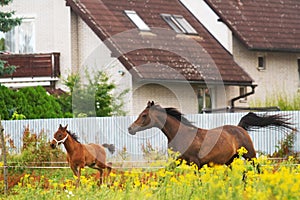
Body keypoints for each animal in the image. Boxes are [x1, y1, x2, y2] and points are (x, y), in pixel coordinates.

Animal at [127, 101, 296, 169]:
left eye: (143, 115)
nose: (130, 129)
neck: (182, 135)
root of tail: (239, 128)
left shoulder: (196, 163)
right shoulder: (177, 161)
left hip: (250, 156)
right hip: (230, 160)